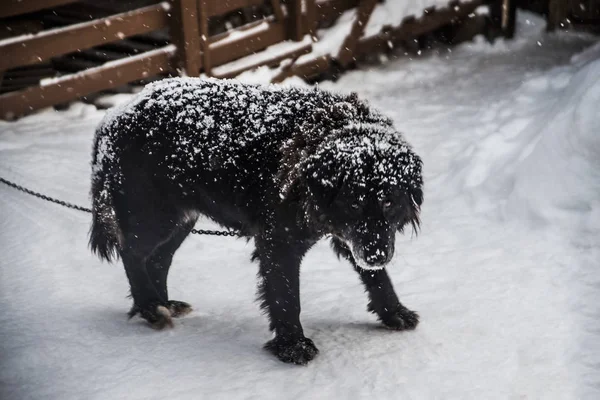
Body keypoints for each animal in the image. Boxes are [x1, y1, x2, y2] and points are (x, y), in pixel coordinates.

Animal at [91, 76, 424, 364]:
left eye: (389, 201)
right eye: (354, 202)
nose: (377, 255)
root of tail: (114, 117)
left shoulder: (350, 235)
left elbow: (377, 277)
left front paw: (394, 312)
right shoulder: (279, 242)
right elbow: (286, 296)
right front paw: (292, 346)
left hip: (181, 219)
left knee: (159, 260)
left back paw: (163, 304)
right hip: (154, 214)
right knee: (133, 254)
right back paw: (149, 307)